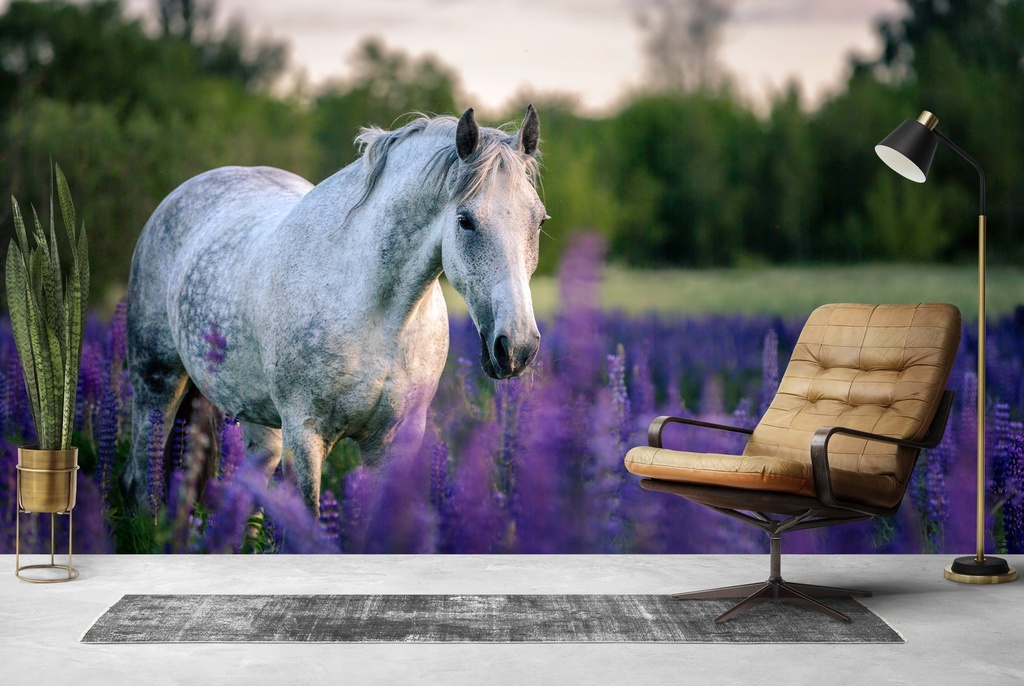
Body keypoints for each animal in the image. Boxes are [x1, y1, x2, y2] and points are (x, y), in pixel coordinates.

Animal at [123, 106, 545, 514]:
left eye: (540, 220)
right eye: (465, 220)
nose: (517, 347)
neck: (379, 317)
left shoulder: (393, 440)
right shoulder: (304, 435)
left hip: (258, 420)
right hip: (156, 387)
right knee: (143, 479)